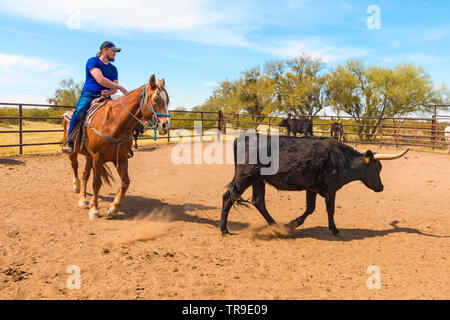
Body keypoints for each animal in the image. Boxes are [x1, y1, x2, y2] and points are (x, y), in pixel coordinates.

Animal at [62, 74, 170, 220]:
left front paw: (113, 208)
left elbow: (125, 182)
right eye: (156, 99)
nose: (166, 125)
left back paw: (83, 199)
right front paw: (94, 209)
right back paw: (76, 186)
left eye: (167, 100)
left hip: (89, 156)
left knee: (85, 174)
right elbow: (97, 182)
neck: (114, 122)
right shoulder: (98, 157)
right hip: (74, 152)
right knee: (75, 166)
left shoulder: (121, 158)